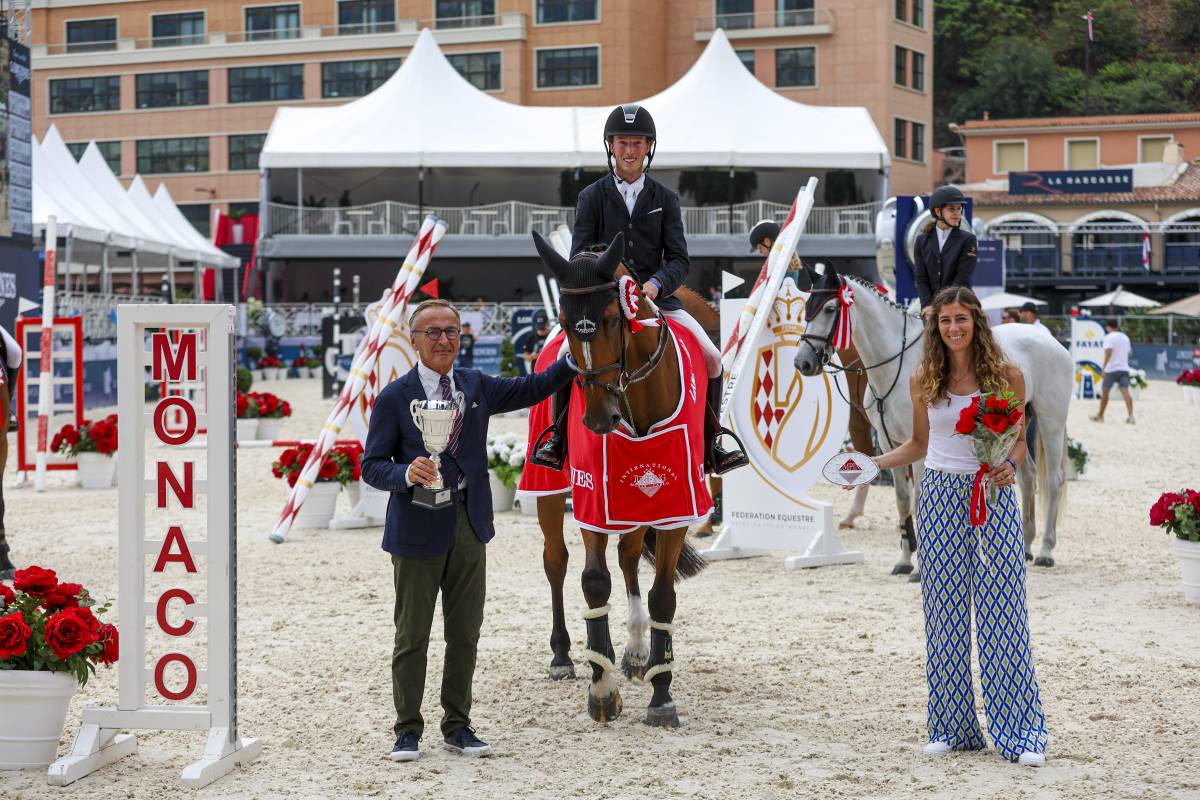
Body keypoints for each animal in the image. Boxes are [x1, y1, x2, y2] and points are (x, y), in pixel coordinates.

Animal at [532, 227, 705, 729]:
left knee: (629, 559)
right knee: (556, 562)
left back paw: (634, 651)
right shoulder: (594, 498)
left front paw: (661, 694)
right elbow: (593, 581)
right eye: (565, 322)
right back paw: (566, 657)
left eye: (613, 319)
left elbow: (662, 595)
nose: (597, 419)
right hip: (548, 490)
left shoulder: (676, 503)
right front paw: (602, 689)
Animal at [796, 272, 1070, 573]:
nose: (803, 362)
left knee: (1053, 480)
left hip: (1050, 421)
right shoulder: (890, 441)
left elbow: (917, 497)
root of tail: (1051, 340)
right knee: (1027, 476)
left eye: (830, 309)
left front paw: (918, 565)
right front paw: (904, 561)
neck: (894, 365)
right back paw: (1027, 547)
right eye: (807, 307)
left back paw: (1045, 550)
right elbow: (903, 500)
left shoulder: (920, 444)